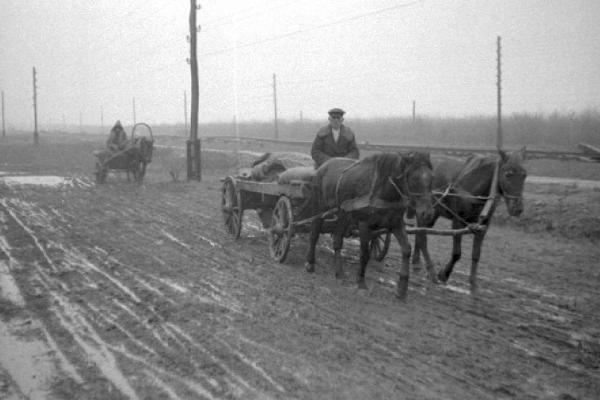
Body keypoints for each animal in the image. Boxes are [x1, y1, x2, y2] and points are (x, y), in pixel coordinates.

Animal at [308, 153, 434, 300]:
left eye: (432, 177)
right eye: (414, 178)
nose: (427, 213)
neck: (382, 191)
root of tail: (323, 166)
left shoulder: (396, 223)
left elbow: (406, 250)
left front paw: (402, 288)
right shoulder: (364, 225)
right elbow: (364, 254)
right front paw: (361, 282)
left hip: (342, 215)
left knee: (337, 240)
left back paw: (339, 272)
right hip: (319, 208)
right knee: (314, 233)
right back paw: (310, 264)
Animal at [410, 148, 528, 292]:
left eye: (524, 175)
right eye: (507, 174)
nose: (517, 208)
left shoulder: (483, 226)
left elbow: (476, 255)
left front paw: (473, 283)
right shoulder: (457, 222)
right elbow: (457, 253)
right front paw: (444, 274)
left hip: (432, 213)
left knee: (420, 234)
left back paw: (416, 263)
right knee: (422, 236)